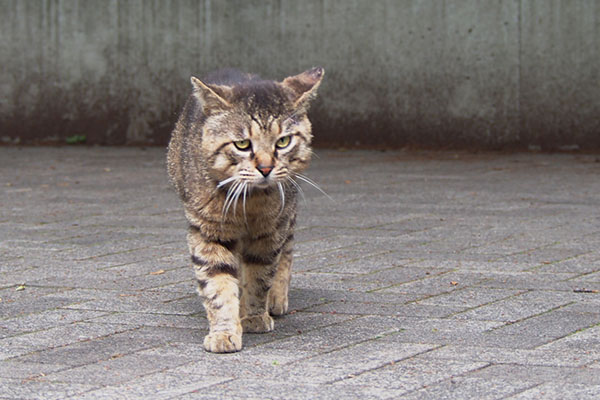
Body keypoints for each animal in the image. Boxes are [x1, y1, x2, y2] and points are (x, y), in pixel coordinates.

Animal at [166, 67, 326, 352]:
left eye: (283, 141)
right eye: (242, 144)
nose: (265, 168)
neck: (249, 203)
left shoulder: (270, 233)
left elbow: (260, 277)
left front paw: (253, 316)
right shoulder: (208, 232)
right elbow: (218, 284)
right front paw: (224, 332)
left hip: (289, 212)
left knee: (287, 251)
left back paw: (276, 299)